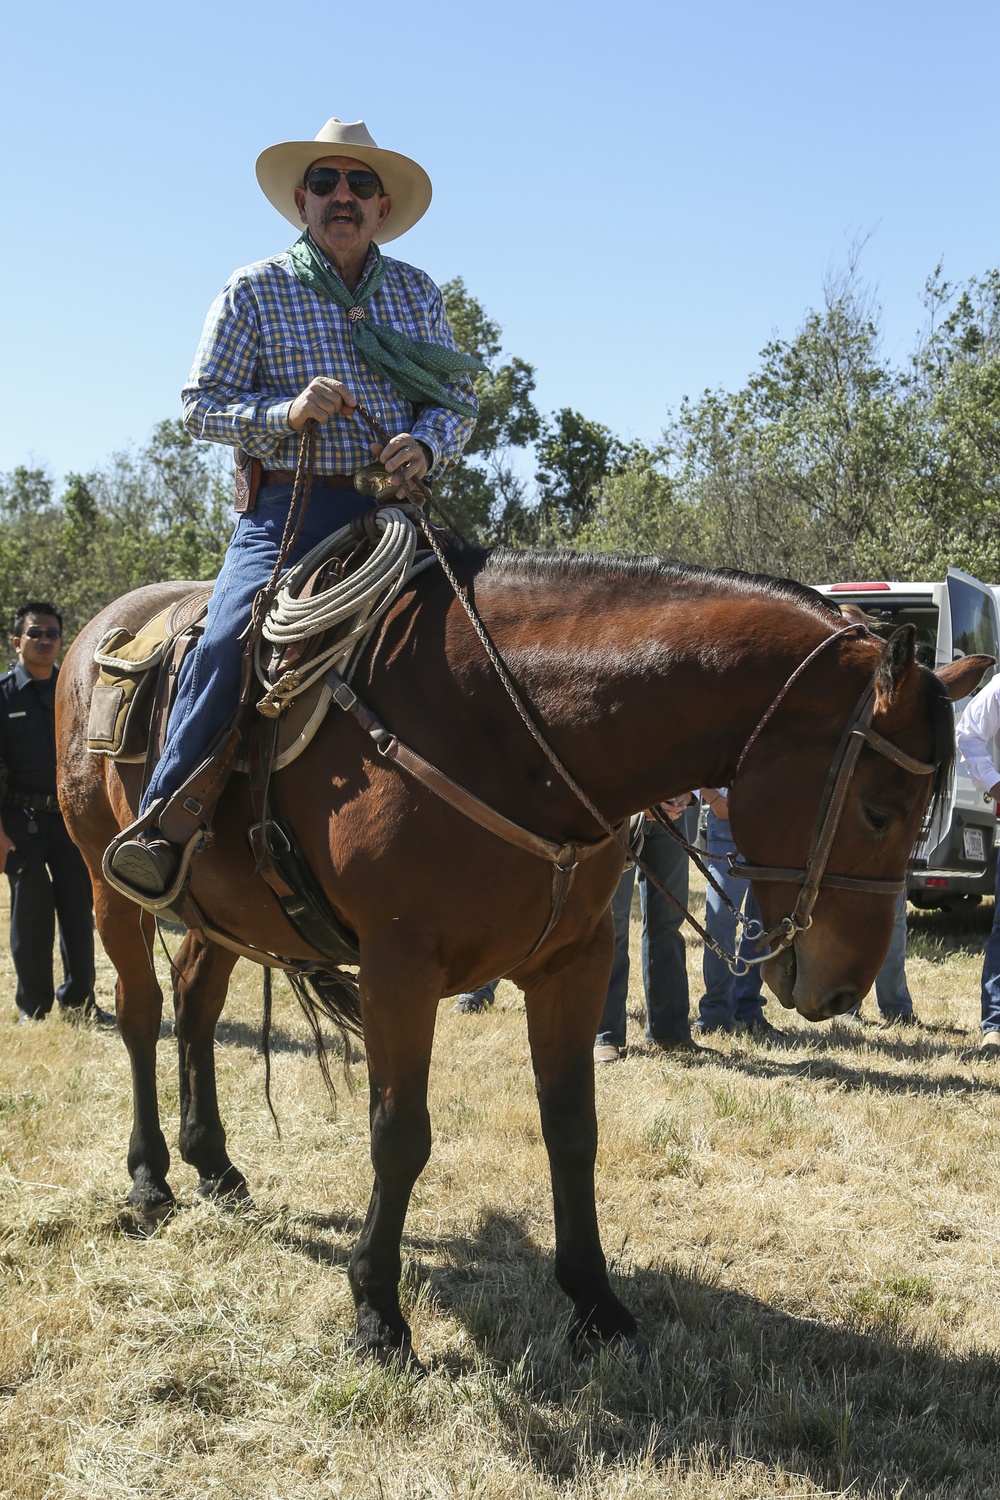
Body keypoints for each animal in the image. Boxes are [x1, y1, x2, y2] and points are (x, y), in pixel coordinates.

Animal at [56, 552, 983, 1362]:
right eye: (876, 808)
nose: (841, 987)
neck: (508, 726)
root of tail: (96, 632)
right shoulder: (399, 969)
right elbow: (399, 1135)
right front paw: (378, 1313)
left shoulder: (574, 960)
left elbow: (572, 1128)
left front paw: (596, 1302)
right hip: (107, 882)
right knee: (141, 1013)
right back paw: (150, 1179)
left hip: (220, 913)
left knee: (195, 1003)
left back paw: (213, 1163)